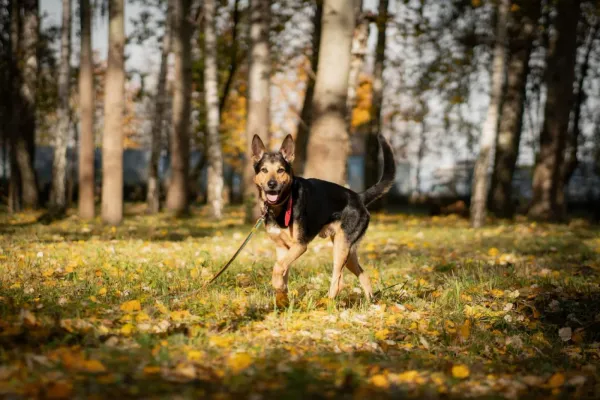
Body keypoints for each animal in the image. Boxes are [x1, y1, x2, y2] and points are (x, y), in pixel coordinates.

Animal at [251, 133, 396, 302]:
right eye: (264, 170)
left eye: (280, 170)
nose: (272, 184)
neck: (283, 203)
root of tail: (359, 197)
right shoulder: (282, 248)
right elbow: (282, 269)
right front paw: (281, 298)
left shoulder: (300, 245)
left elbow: (278, 267)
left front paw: (277, 284)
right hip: (348, 252)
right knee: (363, 275)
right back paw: (371, 303)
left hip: (341, 249)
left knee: (338, 281)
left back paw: (326, 303)